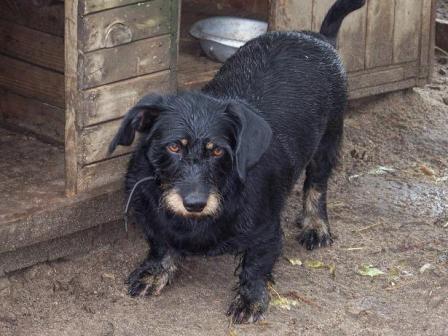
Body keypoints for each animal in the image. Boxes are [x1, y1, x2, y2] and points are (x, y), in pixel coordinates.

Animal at [110, 0, 366, 322]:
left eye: (218, 151)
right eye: (174, 147)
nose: (195, 203)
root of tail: (317, 38)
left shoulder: (267, 231)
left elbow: (255, 265)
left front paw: (250, 298)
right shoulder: (152, 219)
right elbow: (160, 244)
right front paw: (155, 272)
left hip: (328, 141)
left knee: (317, 186)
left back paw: (315, 226)